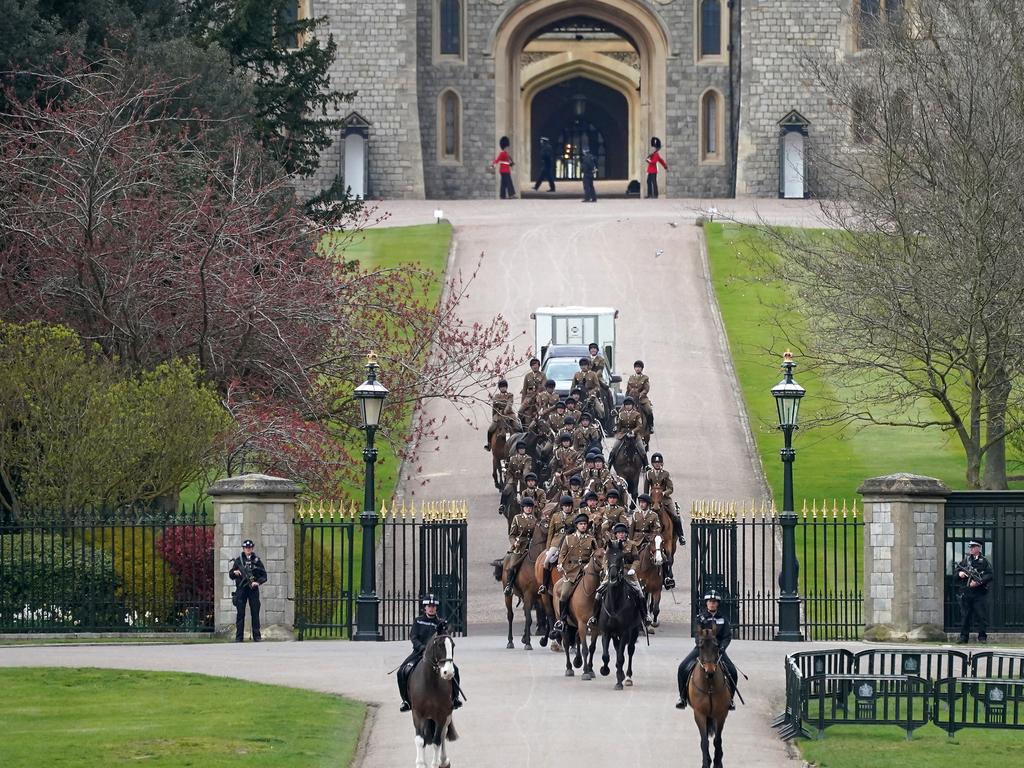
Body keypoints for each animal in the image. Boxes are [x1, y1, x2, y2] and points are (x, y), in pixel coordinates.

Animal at [405, 630, 458, 768]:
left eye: (453, 645)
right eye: (439, 645)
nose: (448, 672)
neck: (430, 682)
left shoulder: (442, 715)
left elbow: (437, 741)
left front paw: (435, 763)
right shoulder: (417, 714)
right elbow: (420, 740)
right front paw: (420, 764)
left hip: (446, 715)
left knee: (443, 734)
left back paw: (443, 761)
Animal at [598, 548, 643, 692]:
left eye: (621, 558)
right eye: (607, 556)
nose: (612, 576)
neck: (615, 604)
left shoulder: (625, 632)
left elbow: (620, 657)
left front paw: (619, 682)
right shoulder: (606, 632)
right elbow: (606, 655)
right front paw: (605, 670)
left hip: (634, 631)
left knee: (629, 651)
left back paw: (627, 677)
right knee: (618, 648)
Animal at [684, 618, 733, 768]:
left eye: (716, 646)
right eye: (700, 647)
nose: (710, 671)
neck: (709, 684)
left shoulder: (721, 714)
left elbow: (718, 740)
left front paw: (717, 762)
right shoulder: (699, 714)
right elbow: (704, 740)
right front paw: (706, 763)